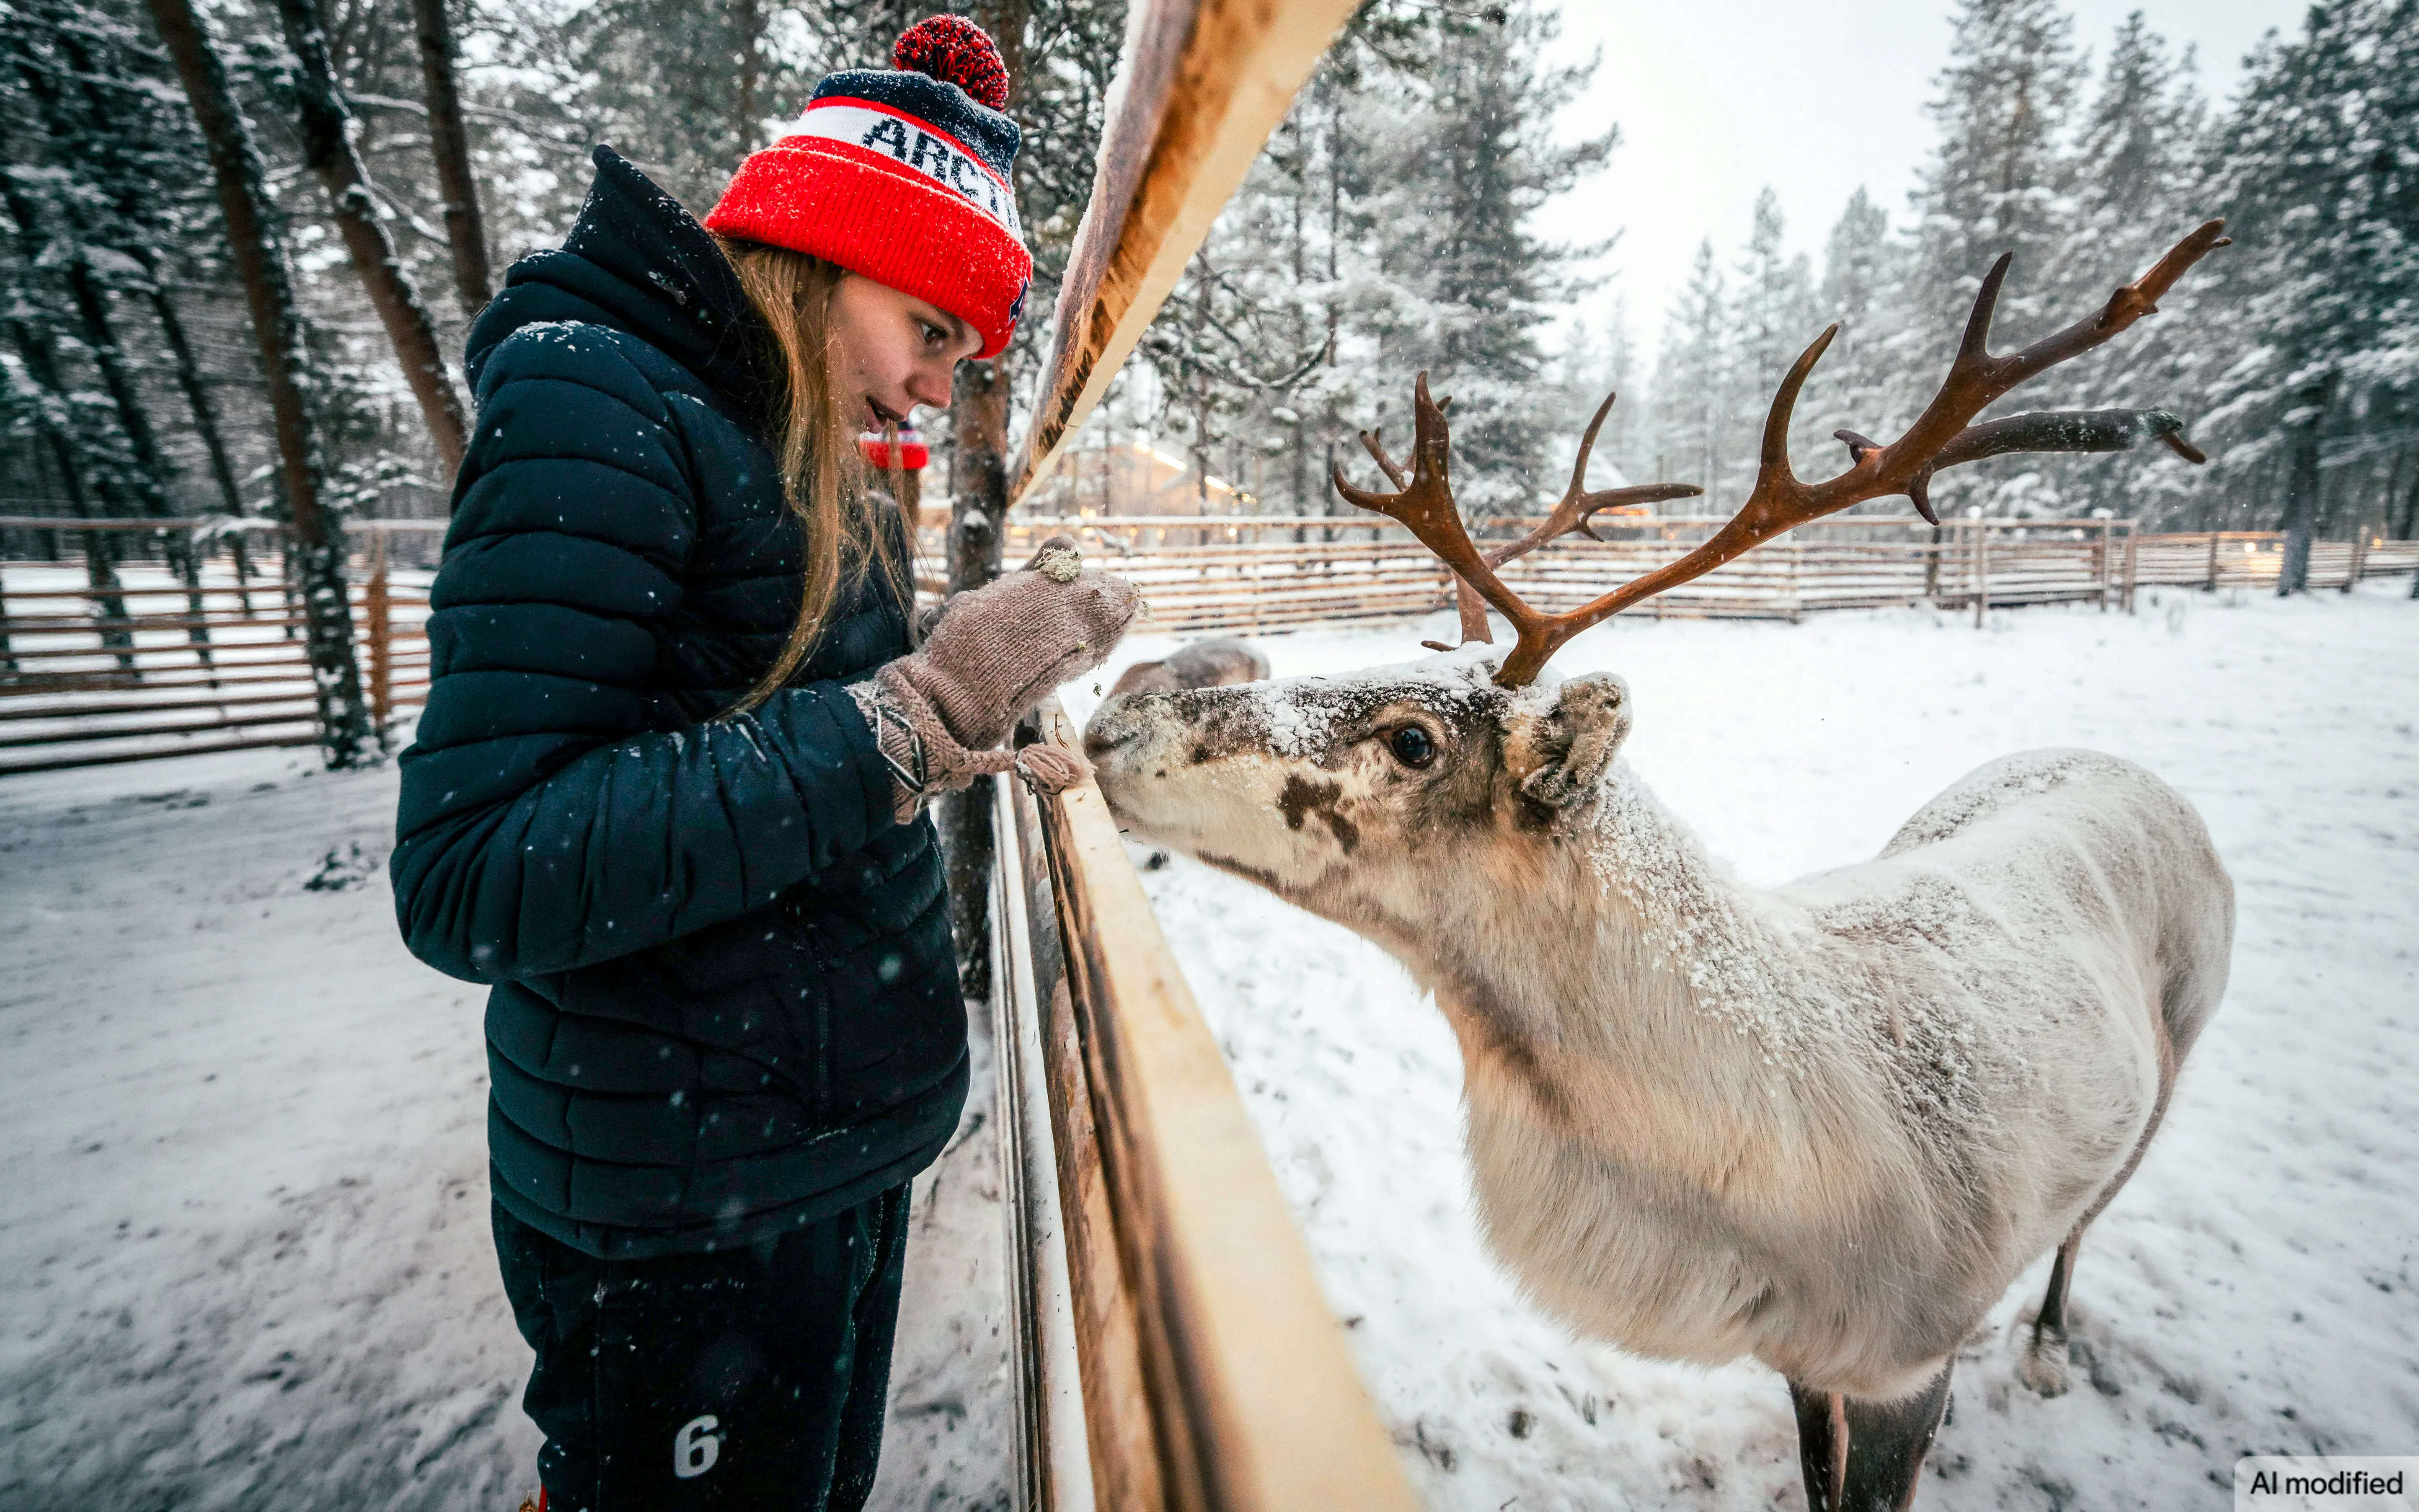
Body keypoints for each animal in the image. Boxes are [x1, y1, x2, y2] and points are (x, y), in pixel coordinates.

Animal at [1081, 224, 2237, 1511]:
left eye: (1412, 739)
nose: (1111, 725)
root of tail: (2130, 770)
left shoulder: (1907, 1358)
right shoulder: (1806, 1359)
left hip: (2171, 1063)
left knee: (2088, 1217)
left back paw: (2044, 1346)